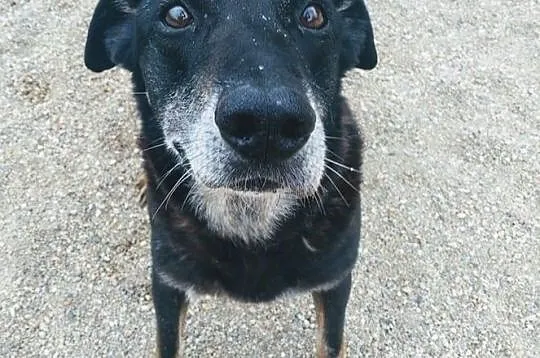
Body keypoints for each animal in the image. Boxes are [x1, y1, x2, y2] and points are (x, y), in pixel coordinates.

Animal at [86, 1, 378, 356]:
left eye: (313, 15)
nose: (268, 123)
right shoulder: (167, 282)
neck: (249, 214)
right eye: (176, 16)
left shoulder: (335, 282)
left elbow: (330, 343)